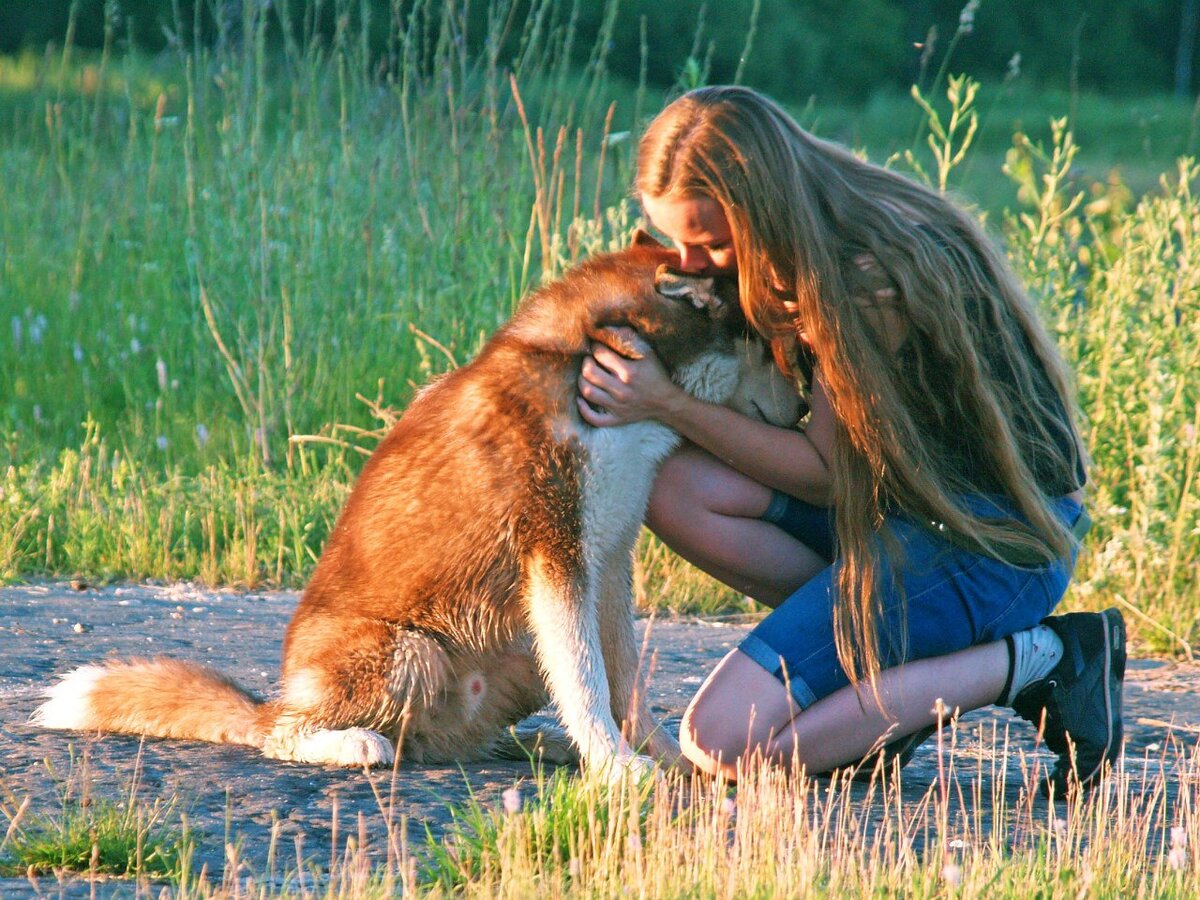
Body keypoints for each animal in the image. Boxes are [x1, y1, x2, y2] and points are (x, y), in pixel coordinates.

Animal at [32, 237, 801, 777]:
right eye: (769, 346)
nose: (804, 411)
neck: (589, 358)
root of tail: (279, 694)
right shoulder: (556, 553)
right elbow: (588, 681)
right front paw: (615, 767)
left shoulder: (607, 561)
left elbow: (621, 680)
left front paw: (658, 757)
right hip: (410, 651)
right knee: (282, 737)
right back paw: (354, 746)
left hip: (513, 649)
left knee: (467, 738)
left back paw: (536, 746)